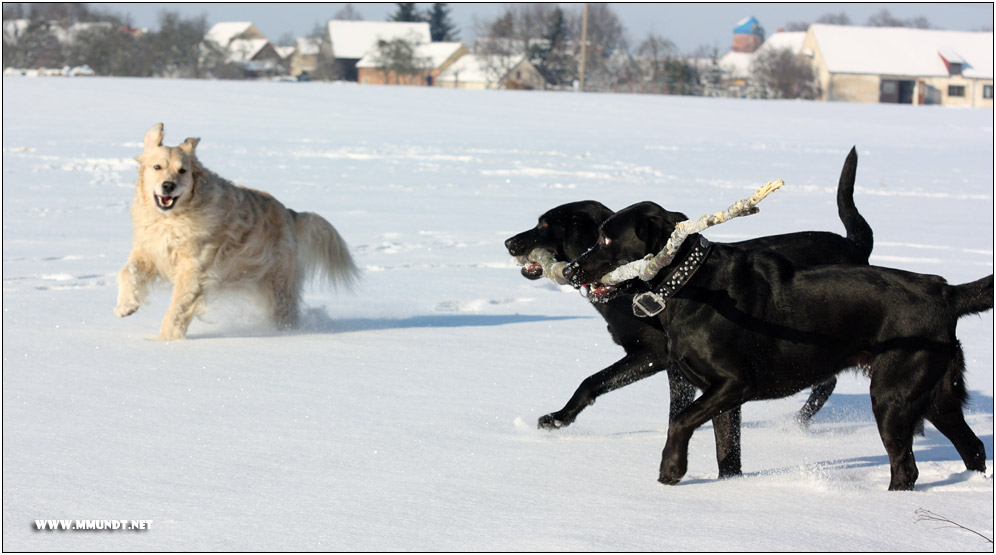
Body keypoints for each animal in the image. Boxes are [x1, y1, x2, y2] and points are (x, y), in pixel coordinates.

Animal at [115, 124, 360, 340]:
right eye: (157, 167)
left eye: (182, 170)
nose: (168, 186)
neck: (171, 219)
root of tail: (290, 212)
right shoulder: (149, 251)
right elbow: (126, 271)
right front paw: (126, 305)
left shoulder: (194, 270)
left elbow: (177, 308)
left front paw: (165, 341)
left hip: (278, 281)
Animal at [506, 150, 872, 480]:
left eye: (543, 224)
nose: (509, 242)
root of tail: (855, 246)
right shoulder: (678, 367)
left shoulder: (654, 353)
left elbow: (593, 381)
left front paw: (559, 417)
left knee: (827, 382)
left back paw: (793, 425)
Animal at [564, 195, 992, 490]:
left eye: (606, 239)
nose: (569, 270)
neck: (691, 285)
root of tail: (945, 291)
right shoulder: (722, 397)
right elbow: (727, 453)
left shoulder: (734, 383)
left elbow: (680, 420)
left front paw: (671, 469)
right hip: (936, 397)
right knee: (972, 447)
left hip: (892, 396)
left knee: (906, 468)